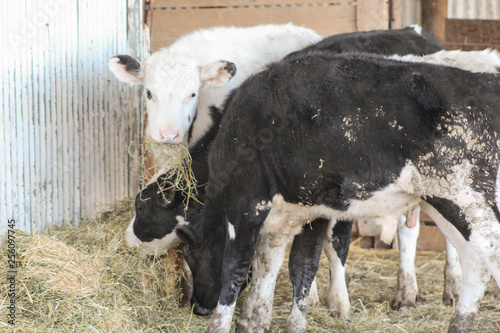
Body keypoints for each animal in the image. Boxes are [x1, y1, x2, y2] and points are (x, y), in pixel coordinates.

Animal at [178, 50, 500, 332]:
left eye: (190, 255)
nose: (199, 307)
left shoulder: (246, 201)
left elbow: (236, 266)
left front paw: (220, 325)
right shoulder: (304, 210)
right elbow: (282, 265)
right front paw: (256, 322)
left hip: (469, 199)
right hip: (446, 204)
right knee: (476, 265)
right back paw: (459, 323)